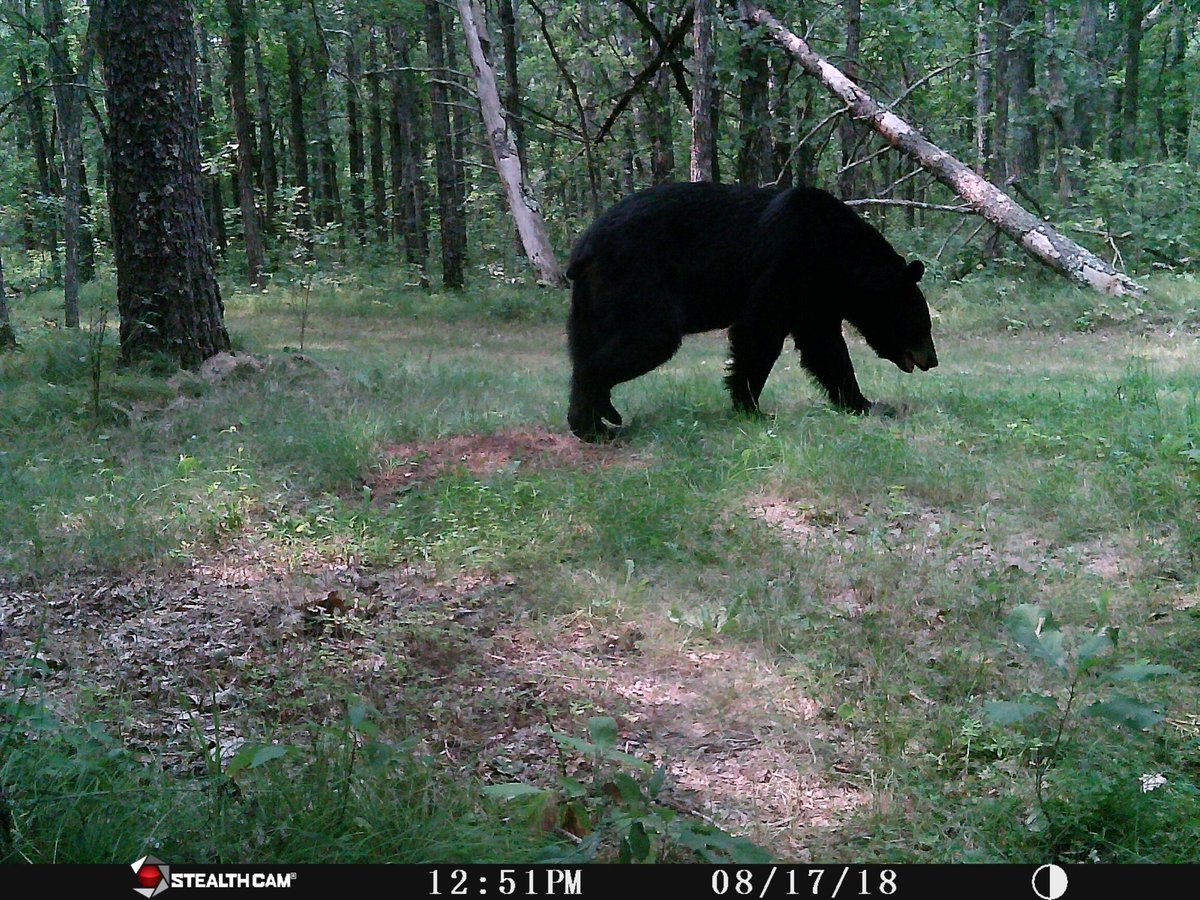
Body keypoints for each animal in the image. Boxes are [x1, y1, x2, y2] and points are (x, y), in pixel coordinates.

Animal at [565, 182, 938, 441]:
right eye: (922, 324)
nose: (932, 360)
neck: (839, 255)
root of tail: (583, 249)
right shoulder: (788, 260)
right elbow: (759, 330)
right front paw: (751, 407)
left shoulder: (817, 296)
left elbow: (825, 348)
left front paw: (864, 403)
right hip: (636, 276)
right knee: (648, 336)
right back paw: (591, 426)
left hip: (589, 302)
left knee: (583, 347)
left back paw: (601, 413)